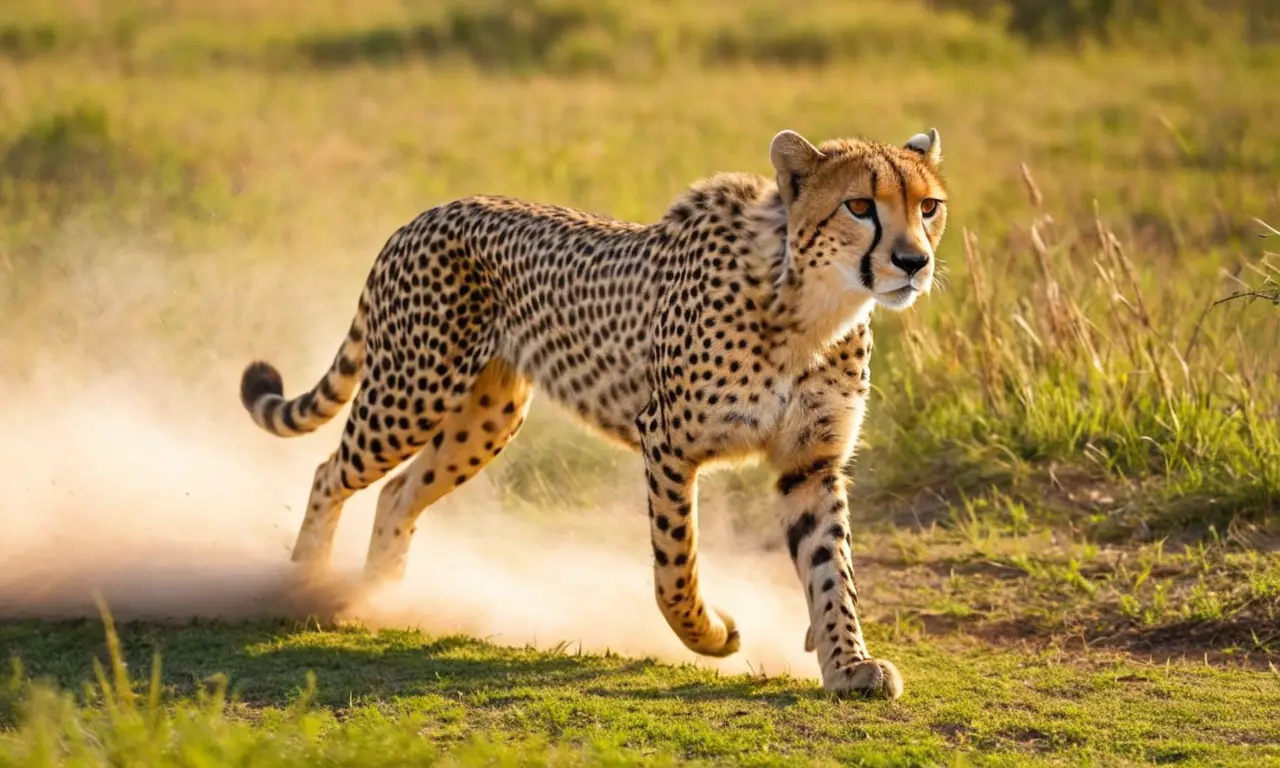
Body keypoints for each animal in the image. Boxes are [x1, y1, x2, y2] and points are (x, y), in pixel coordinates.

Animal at [239, 128, 948, 699]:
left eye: (928, 207)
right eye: (860, 205)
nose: (914, 261)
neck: (810, 308)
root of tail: (425, 215)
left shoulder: (810, 464)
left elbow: (832, 572)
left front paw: (847, 664)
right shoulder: (666, 442)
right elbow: (674, 567)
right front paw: (711, 635)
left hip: (485, 417)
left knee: (396, 492)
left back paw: (380, 596)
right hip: (412, 392)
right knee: (331, 471)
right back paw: (305, 584)